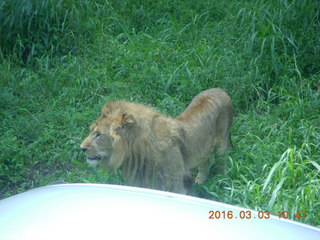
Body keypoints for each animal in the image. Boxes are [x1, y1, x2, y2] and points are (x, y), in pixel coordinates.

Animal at [80, 87, 232, 193]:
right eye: (91, 131)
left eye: (98, 134)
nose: (81, 148)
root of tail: (220, 90)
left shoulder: (174, 182)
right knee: (205, 160)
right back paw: (200, 181)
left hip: (222, 145)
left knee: (221, 164)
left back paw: (221, 182)